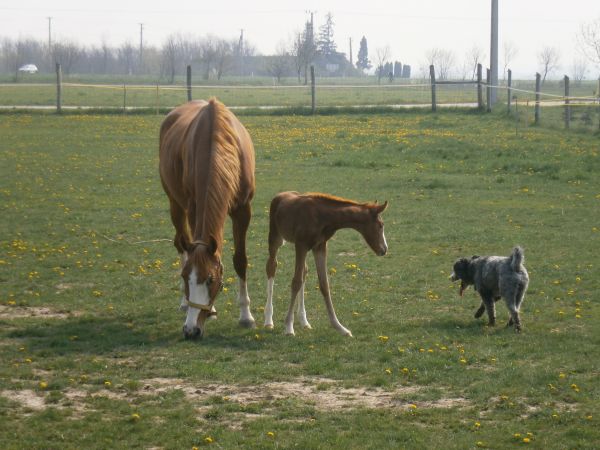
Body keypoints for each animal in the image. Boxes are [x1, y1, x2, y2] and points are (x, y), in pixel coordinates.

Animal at [159, 98, 255, 338]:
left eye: (211, 279)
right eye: (185, 277)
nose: (191, 330)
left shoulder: (243, 209)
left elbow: (240, 260)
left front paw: (246, 315)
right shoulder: (194, 208)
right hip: (175, 203)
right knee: (180, 243)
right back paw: (184, 304)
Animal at [264, 192, 390, 336]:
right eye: (380, 225)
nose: (384, 249)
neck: (323, 217)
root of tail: (280, 195)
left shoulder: (320, 246)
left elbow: (324, 284)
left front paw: (340, 327)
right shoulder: (301, 245)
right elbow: (296, 282)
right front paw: (289, 326)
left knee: (304, 272)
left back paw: (304, 321)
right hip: (275, 238)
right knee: (272, 267)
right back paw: (268, 321)